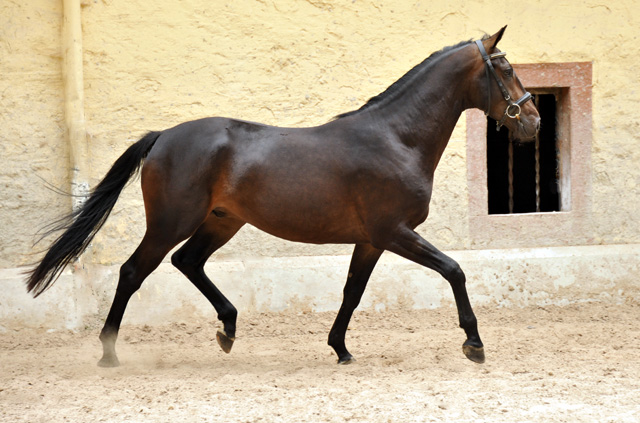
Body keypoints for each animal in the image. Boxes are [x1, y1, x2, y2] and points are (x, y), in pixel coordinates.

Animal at [23, 26, 540, 368]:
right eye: (506, 68)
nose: (532, 120)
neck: (396, 138)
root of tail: (163, 136)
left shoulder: (372, 240)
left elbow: (352, 291)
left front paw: (340, 348)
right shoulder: (394, 232)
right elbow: (454, 270)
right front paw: (474, 344)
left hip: (222, 220)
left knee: (188, 262)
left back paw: (228, 329)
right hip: (172, 222)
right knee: (134, 271)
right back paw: (109, 352)